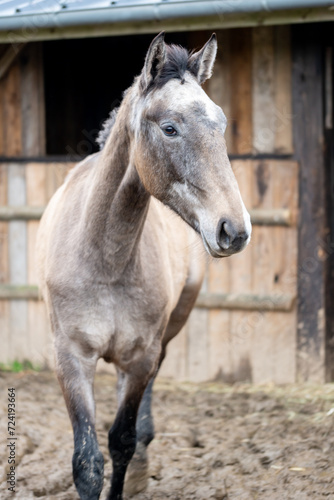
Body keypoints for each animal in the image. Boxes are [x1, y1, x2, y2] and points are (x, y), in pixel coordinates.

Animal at [36, 32, 250, 500]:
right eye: (169, 128)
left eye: (221, 124)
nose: (234, 229)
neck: (105, 261)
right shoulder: (70, 358)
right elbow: (87, 462)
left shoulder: (141, 359)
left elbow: (123, 441)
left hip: (166, 336)